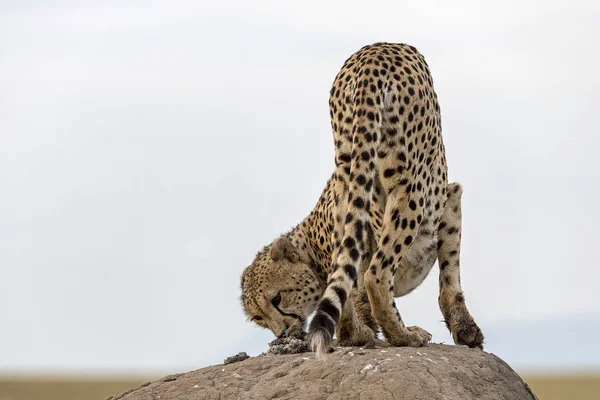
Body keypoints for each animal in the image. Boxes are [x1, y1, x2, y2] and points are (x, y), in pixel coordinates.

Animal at [239, 43, 482, 356]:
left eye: (277, 299)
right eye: (258, 317)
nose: (282, 333)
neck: (311, 247)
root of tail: (375, 52)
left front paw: (353, 335)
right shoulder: (449, 199)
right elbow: (450, 278)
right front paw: (466, 331)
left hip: (349, 169)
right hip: (408, 187)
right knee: (376, 275)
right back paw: (404, 336)